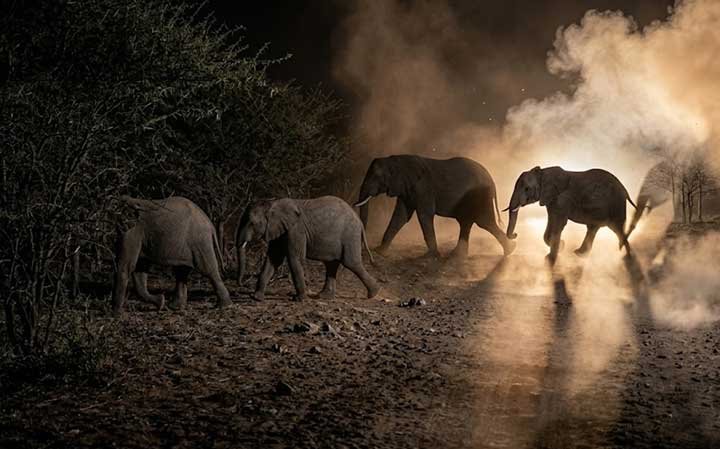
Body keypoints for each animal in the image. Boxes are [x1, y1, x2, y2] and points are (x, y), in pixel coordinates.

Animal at [235, 196, 379, 301]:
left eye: (252, 223)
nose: (242, 284)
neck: (273, 203)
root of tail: (359, 220)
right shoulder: (279, 230)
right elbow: (273, 259)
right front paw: (256, 298)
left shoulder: (296, 229)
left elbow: (294, 258)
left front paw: (300, 299)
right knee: (331, 264)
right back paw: (324, 296)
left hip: (350, 235)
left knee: (351, 263)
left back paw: (374, 294)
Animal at [355, 155, 515, 258]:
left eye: (376, 176)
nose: (364, 249)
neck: (396, 160)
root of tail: (491, 178)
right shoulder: (407, 190)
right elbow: (401, 216)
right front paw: (380, 252)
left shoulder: (423, 188)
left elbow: (424, 215)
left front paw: (432, 256)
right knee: (466, 222)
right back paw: (458, 255)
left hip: (480, 196)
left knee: (484, 221)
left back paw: (510, 250)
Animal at [505, 166, 637, 263]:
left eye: (527, 189)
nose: (515, 234)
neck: (543, 173)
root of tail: (625, 189)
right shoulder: (551, 200)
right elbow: (551, 222)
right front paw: (561, 246)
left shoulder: (562, 199)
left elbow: (558, 223)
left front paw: (550, 259)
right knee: (594, 228)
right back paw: (580, 254)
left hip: (616, 204)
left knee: (617, 228)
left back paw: (629, 256)